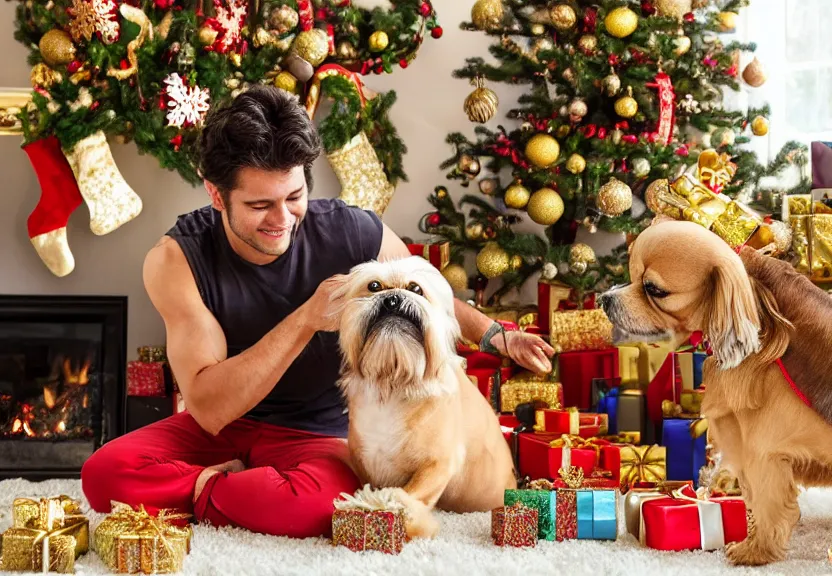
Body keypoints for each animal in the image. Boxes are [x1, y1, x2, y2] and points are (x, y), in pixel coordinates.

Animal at [334, 256, 516, 540]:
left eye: (415, 289)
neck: (394, 382)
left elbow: (411, 493)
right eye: (374, 286)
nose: (392, 299)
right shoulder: (365, 461)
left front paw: (391, 507)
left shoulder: (438, 464)